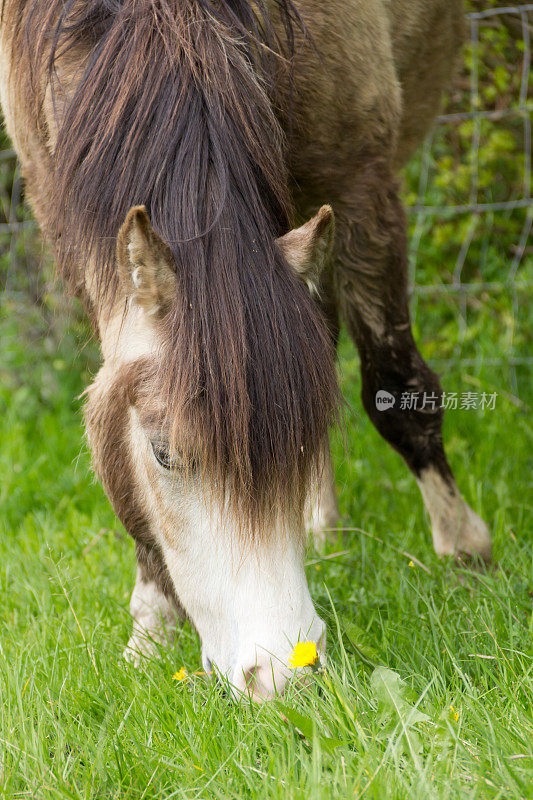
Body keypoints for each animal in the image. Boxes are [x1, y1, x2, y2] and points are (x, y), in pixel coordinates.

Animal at [0, 0, 492, 700]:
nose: (285, 674)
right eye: (164, 454)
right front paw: (151, 631)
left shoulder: (359, 181)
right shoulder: (61, 211)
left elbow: (399, 391)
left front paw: (462, 551)